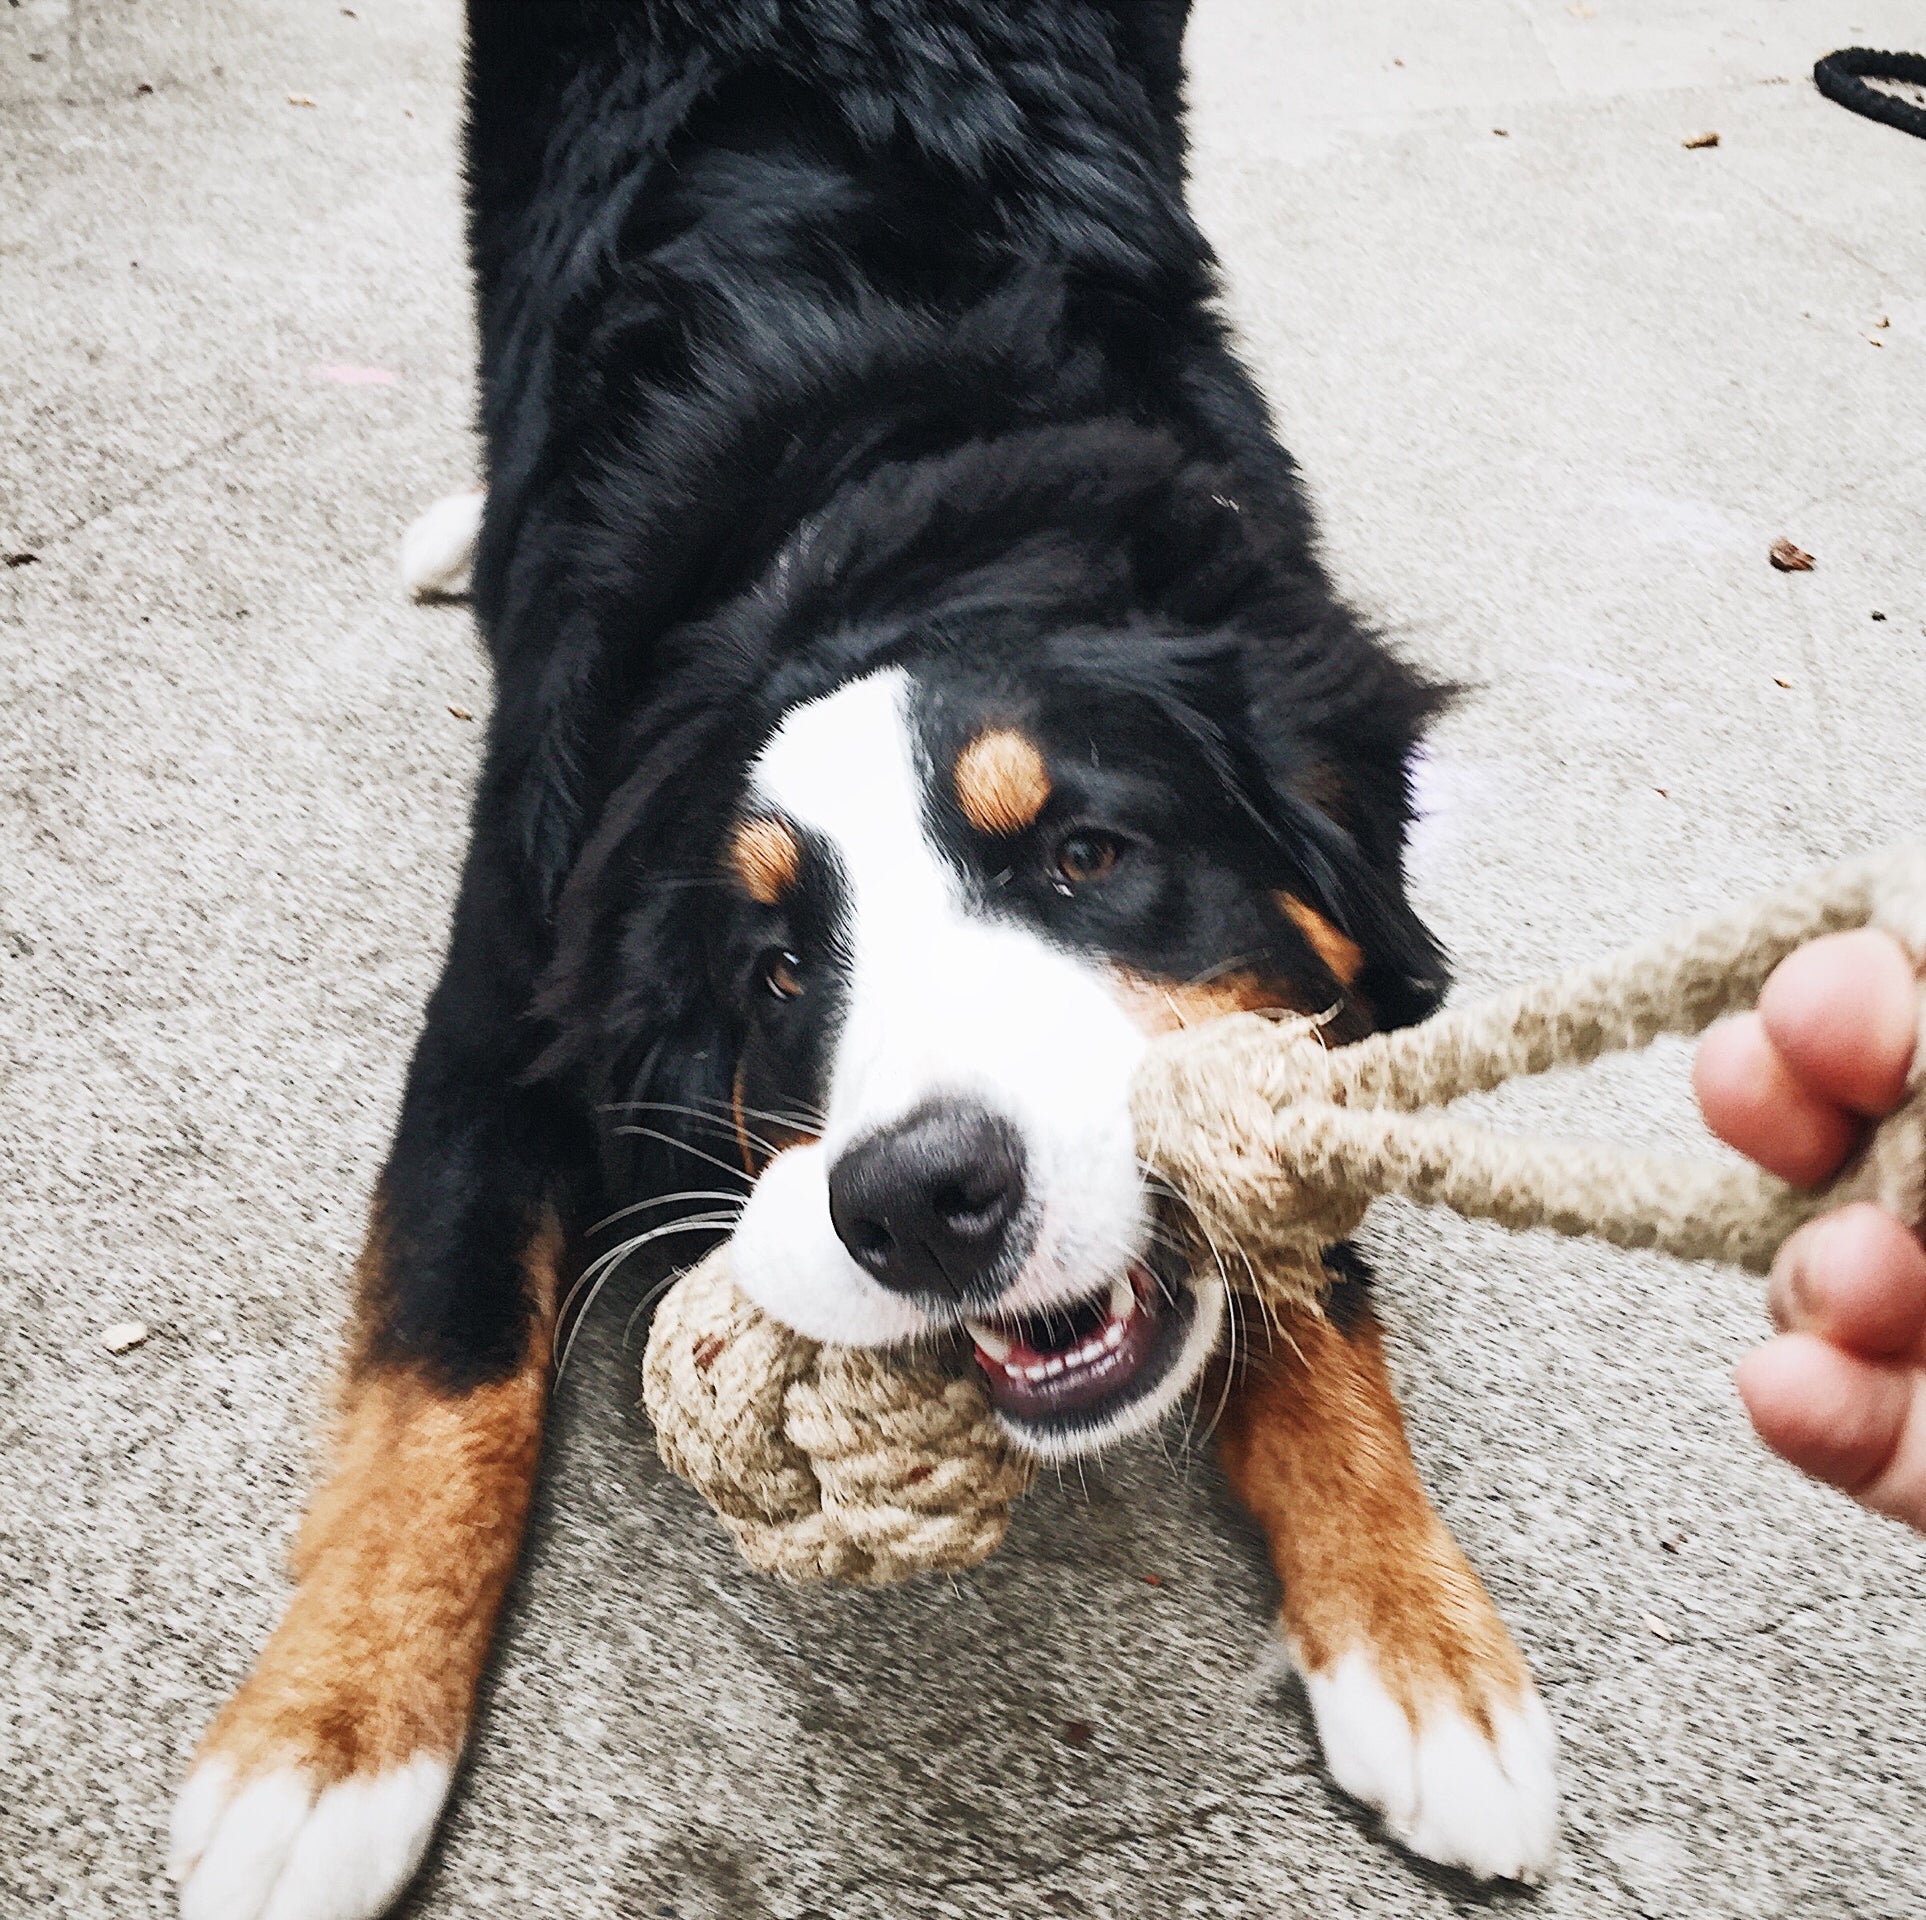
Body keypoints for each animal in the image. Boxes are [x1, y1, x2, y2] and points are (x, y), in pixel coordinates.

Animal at [169, 7, 1563, 1910]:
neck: (860, 525)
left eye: (1085, 856)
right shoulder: (505, 990)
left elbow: (1306, 1280)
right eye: (775, 968)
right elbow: (442, 1363)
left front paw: (1424, 1644)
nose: (921, 1202)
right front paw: (320, 1743)